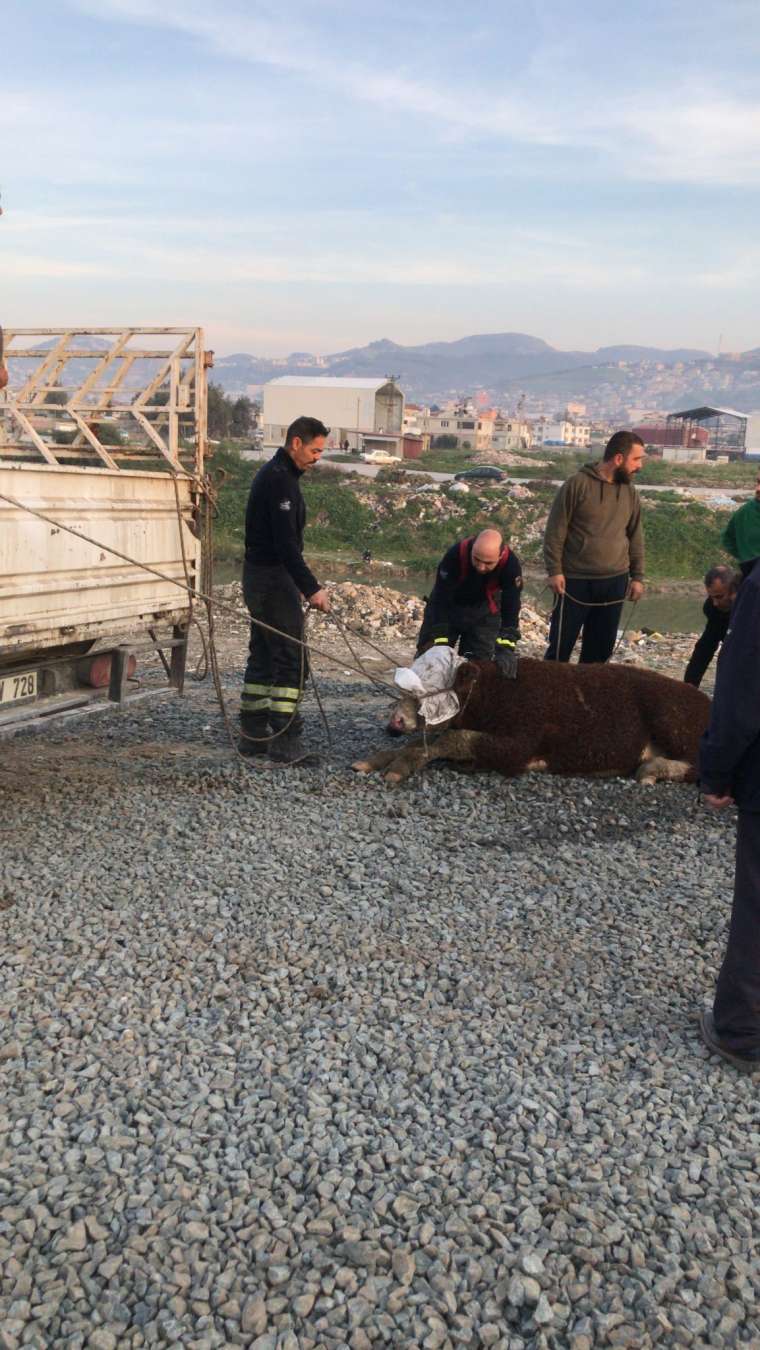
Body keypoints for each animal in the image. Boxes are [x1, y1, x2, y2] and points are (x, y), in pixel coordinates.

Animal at [353, 656, 712, 788]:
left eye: (426, 690)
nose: (394, 722)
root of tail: (706, 701)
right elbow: (426, 741)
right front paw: (371, 762)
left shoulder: (519, 743)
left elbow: (452, 739)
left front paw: (397, 769)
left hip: (672, 719)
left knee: (700, 768)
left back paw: (650, 771)